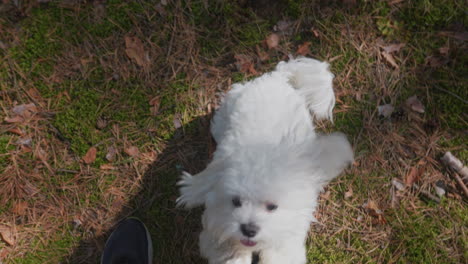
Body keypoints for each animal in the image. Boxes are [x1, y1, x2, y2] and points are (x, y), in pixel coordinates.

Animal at [177, 58, 352, 264]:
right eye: (236, 201)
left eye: (272, 207)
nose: (249, 229)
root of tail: (277, 76)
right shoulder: (217, 228)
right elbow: (229, 249)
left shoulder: (288, 235)